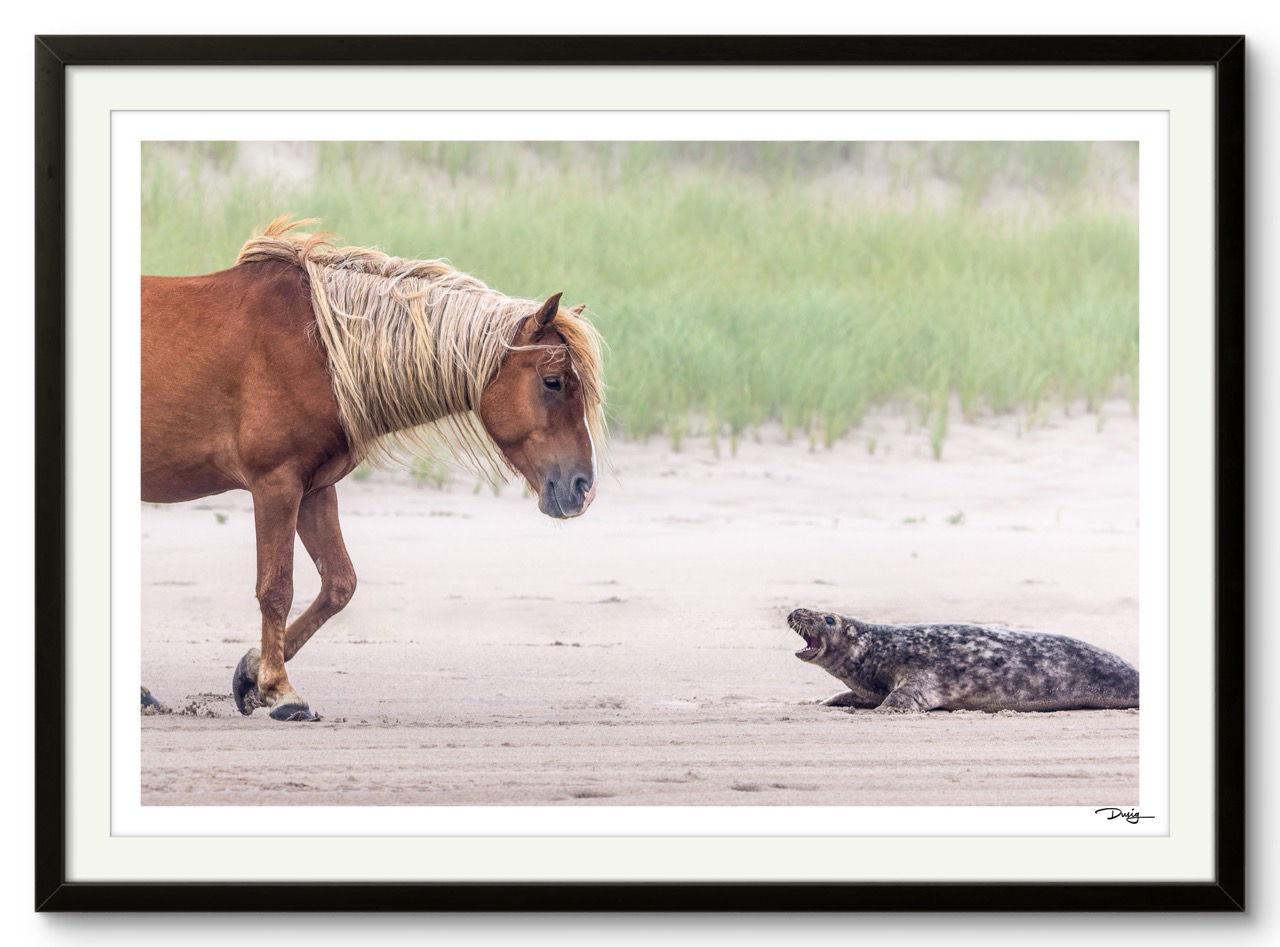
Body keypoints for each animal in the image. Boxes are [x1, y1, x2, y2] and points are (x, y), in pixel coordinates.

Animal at [142, 221, 606, 721]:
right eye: (552, 382)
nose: (582, 488)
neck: (318, 346)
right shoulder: (275, 485)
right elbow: (276, 588)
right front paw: (281, 690)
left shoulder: (313, 488)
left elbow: (339, 584)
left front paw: (251, 674)